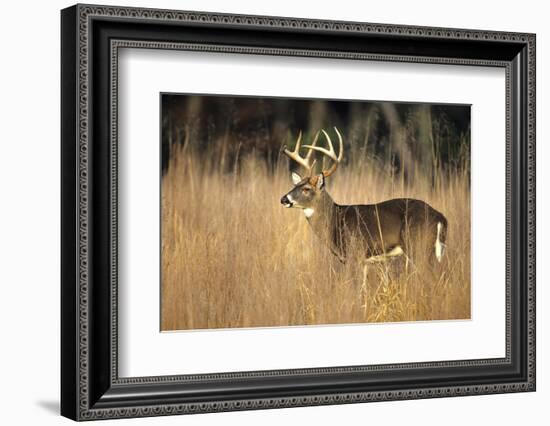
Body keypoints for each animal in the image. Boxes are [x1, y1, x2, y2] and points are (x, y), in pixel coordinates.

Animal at [280, 127, 448, 266]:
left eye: (306, 189)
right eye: (295, 185)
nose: (283, 199)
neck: (335, 220)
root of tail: (440, 217)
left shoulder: (354, 252)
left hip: (417, 246)